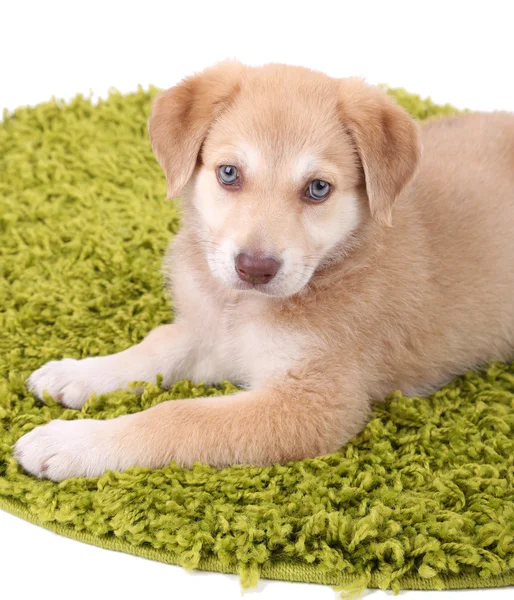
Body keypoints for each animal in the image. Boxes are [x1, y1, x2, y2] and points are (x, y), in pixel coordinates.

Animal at [13, 62, 512, 482]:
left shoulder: (315, 403)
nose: (254, 268)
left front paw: (70, 442)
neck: (242, 306)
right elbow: (155, 347)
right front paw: (77, 374)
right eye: (229, 173)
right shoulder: (213, 336)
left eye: (318, 188)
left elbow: (180, 415)